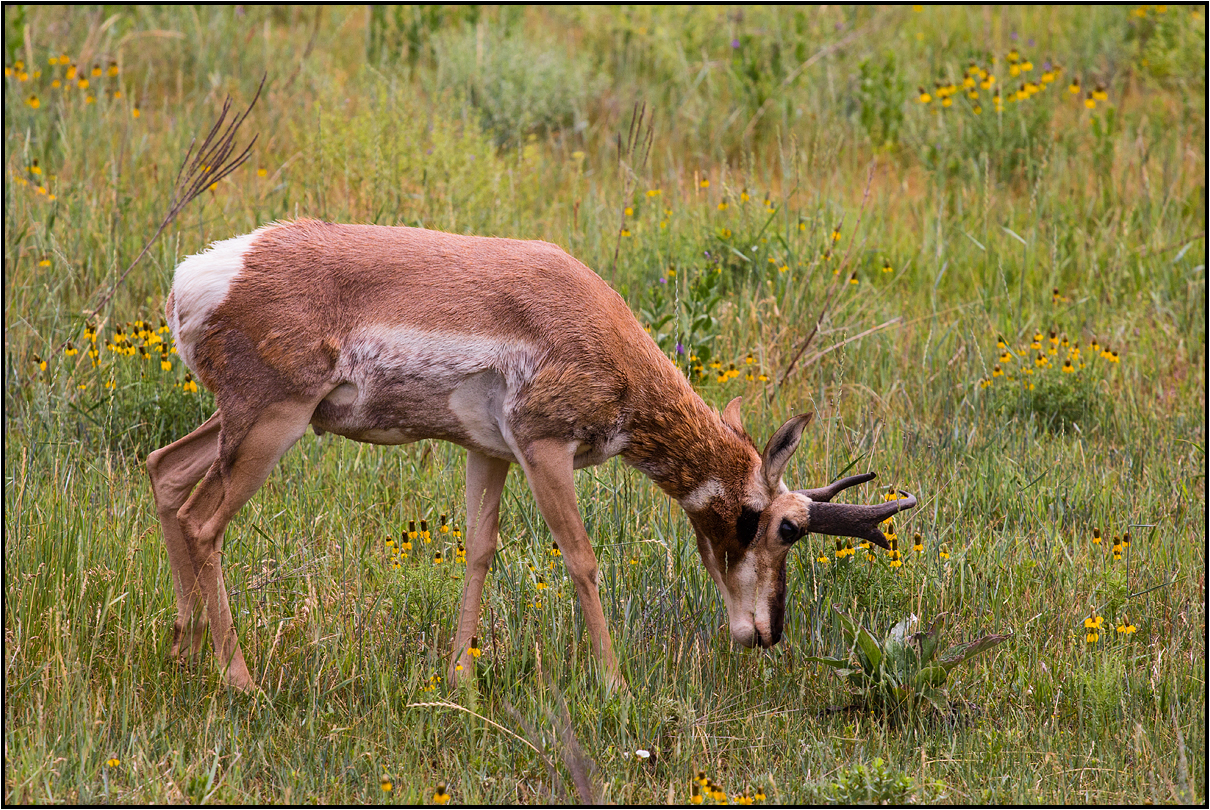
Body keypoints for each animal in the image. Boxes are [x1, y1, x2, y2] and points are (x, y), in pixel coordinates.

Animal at [146, 219, 909, 687]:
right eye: (787, 526)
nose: (769, 634)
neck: (608, 335)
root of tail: (198, 275)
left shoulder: (488, 453)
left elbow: (479, 551)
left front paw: (459, 677)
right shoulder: (544, 449)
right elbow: (581, 558)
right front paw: (613, 681)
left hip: (242, 421)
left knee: (164, 473)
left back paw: (183, 653)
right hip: (273, 421)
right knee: (203, 521)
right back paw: (241, 682)